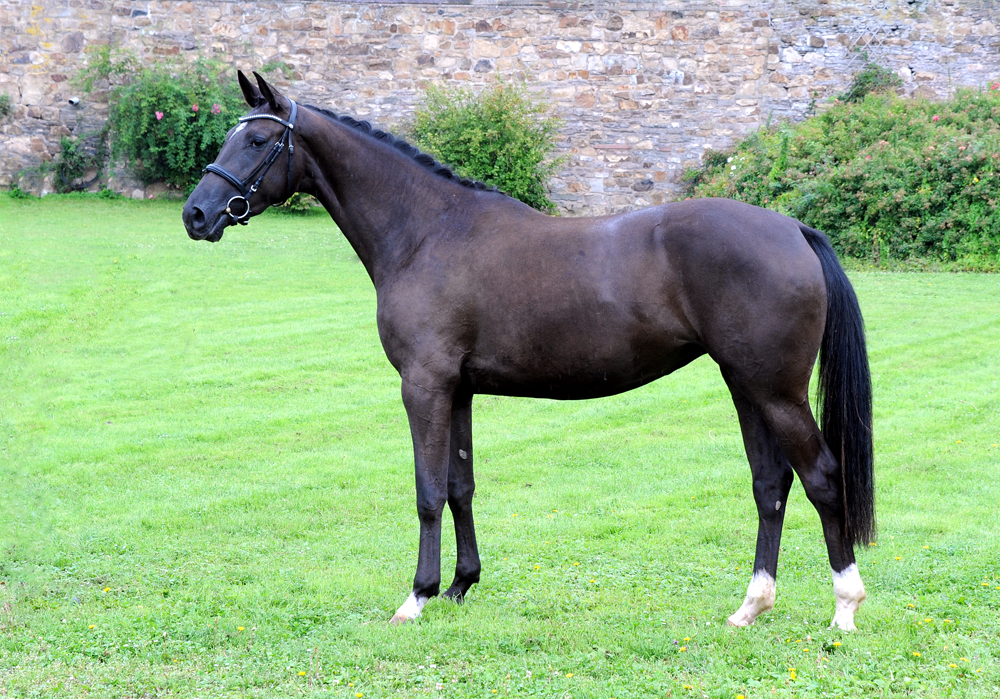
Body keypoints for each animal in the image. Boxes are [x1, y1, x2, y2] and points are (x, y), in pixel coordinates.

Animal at [184, 72, 872, 636]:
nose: (196, 215)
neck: (428, 231)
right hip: (744, 384)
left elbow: (427, 490)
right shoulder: (458, 389)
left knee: (821, 478)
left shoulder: (423, 385)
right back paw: (751, 606)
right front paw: (460, 586)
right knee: (770, 484)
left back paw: (844, 608)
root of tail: (792, 229)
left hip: (775, 391)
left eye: (256, 141)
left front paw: (417, 596)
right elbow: (460, 486)